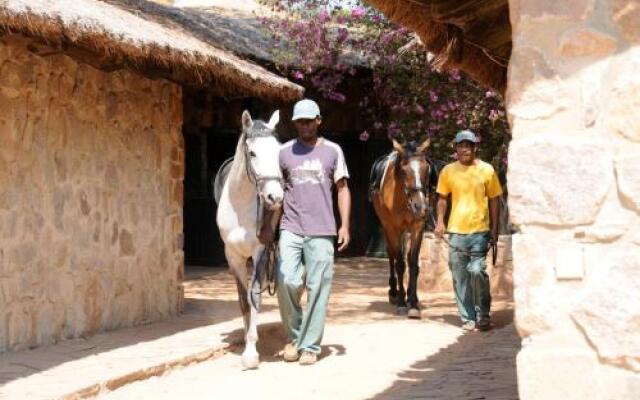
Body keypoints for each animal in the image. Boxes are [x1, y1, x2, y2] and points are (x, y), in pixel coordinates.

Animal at [216, 109, 284, 368]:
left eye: (278, 151)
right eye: (252, 152)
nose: (275, 197)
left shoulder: (260, 252)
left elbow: (255, 295)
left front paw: (251, 352)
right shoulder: (233, 256)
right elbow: (244, 302)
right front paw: (247, 340)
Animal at [372, 138, 432, 318]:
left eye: (426, 169)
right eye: (404, 171)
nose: (420, 207)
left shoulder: (417, 228)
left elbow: (413, 263)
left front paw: (413, 303)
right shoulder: (393, 229)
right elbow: (399, 263)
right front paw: (401, 302)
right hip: (387, 228)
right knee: (392, 255)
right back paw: (394, 292)